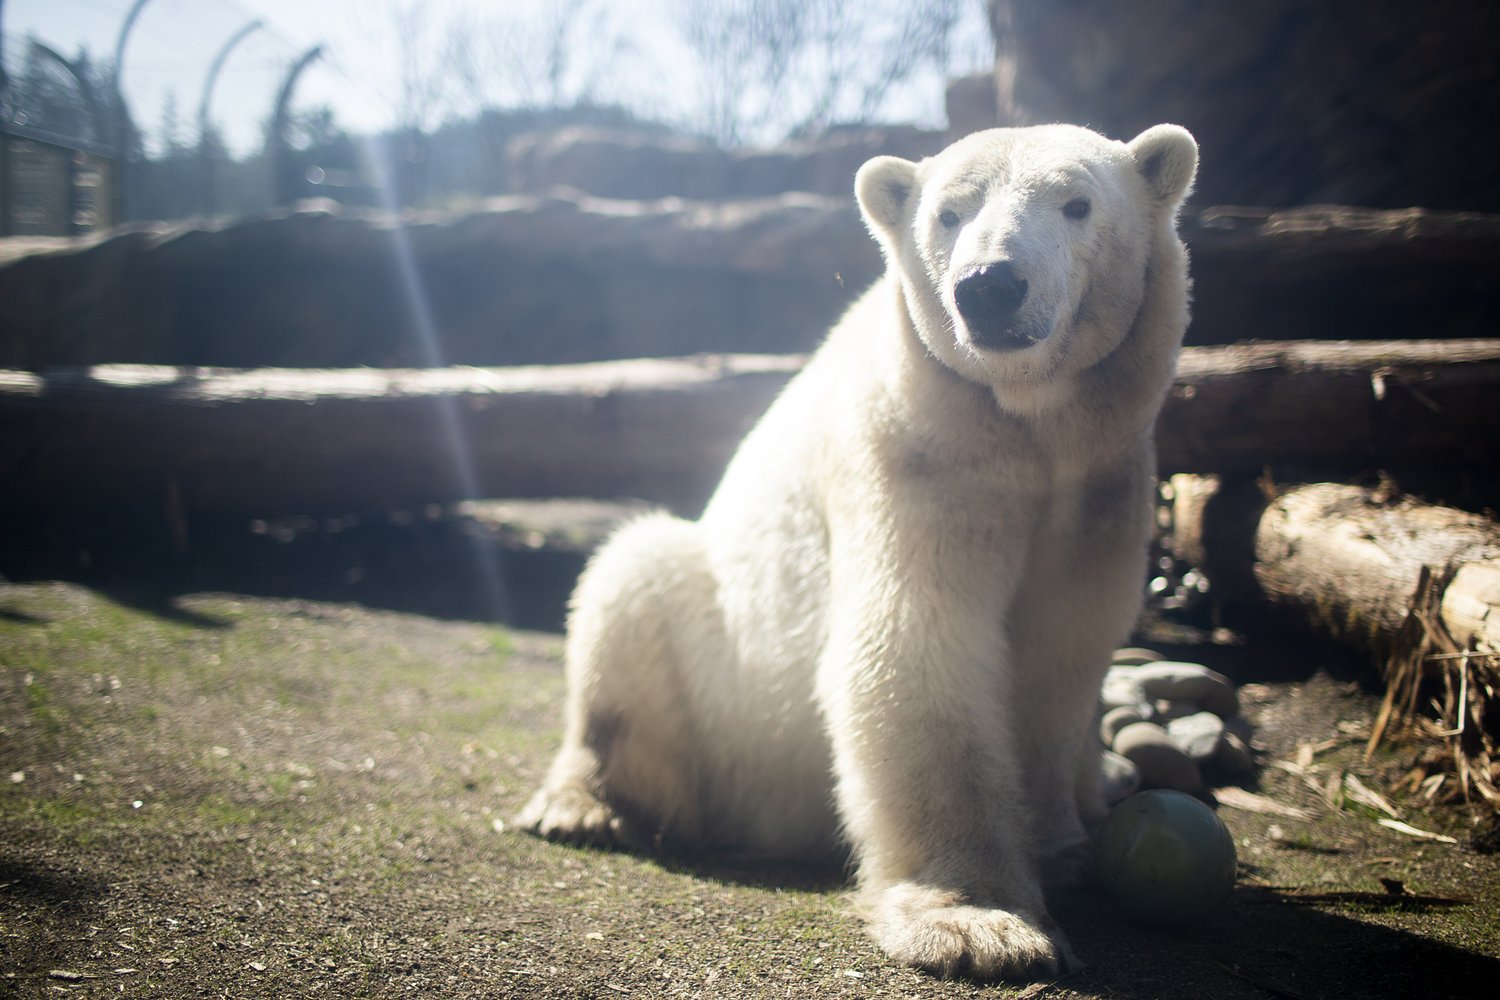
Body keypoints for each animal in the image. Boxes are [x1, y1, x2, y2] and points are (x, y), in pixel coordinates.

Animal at [518, 122, 1198, 980]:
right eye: (949, 213)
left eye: (1077, 204)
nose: (989, 285)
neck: (1029, 428)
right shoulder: (917, 457)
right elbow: (915, 645)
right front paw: (981, 924)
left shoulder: (1103, 484)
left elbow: (1062, 653)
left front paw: (1057, 851)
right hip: (721, 689)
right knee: (633, 584)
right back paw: (582, 805)